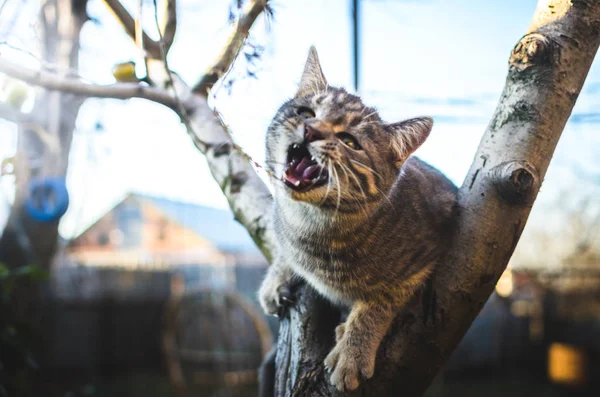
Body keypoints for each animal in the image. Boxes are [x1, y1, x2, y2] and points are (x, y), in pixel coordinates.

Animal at [256, 46, 454, 390]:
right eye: (306, 113)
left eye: (350, 142)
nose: (311, 130)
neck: (313, 226)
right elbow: (285, 253)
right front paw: (277, 277)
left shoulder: (420, 260)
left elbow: (377, 304)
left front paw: (352, 351)